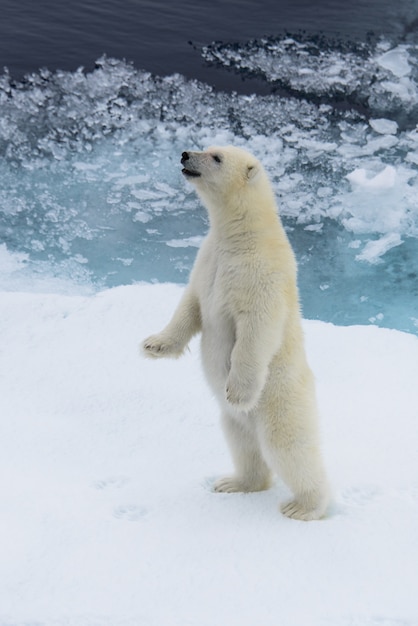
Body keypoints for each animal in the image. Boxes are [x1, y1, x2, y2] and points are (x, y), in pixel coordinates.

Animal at [144, 145, 330, 516]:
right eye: (205, 146)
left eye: (216, 157)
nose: (185, 154)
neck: (241, 236)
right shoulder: (208, 262)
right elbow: (191, 305)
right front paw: (153, 345)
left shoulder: (260, 273)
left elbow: (257, 328)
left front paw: (238, 390)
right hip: (235, 422)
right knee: (243, 443)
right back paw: (234, 483)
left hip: (280, 399)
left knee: (288, 447)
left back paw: (305, 506)